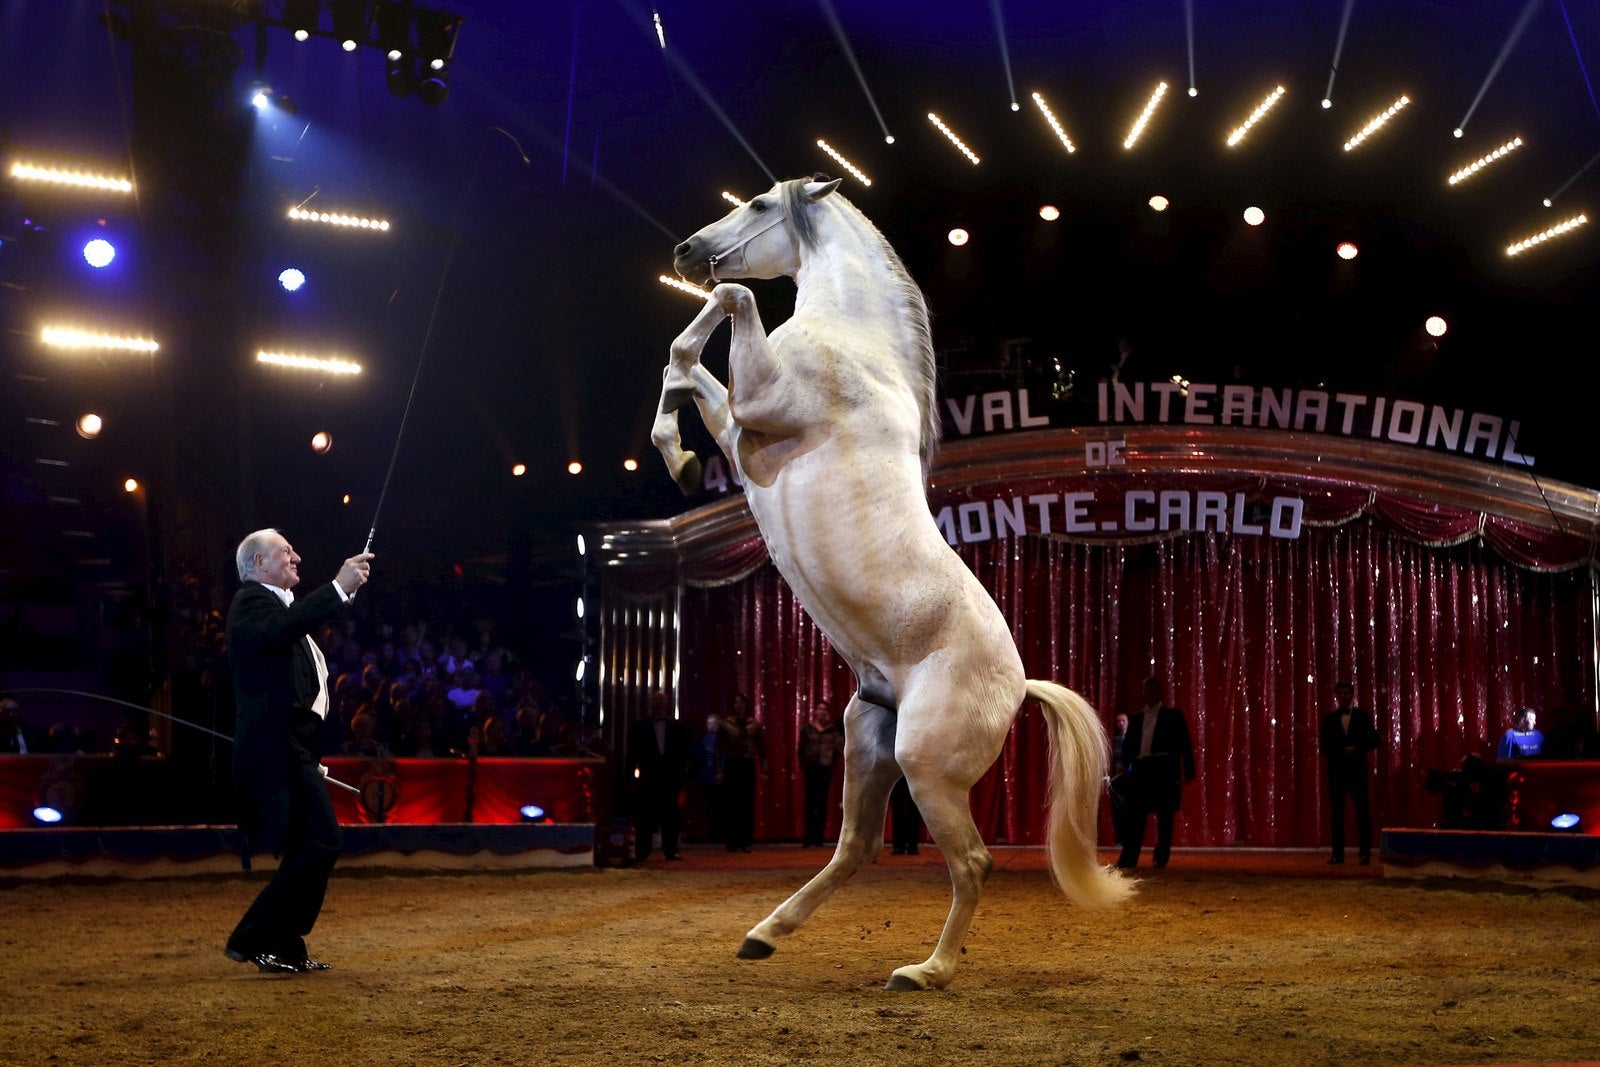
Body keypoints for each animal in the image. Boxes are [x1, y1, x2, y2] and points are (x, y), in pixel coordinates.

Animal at [646, 177, 1126, 991]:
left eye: (759, 205)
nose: (686, 251)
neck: (855, 346)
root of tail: (1019, 686)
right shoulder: (742, 439)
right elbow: (686, 369)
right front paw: (677, 453)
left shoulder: (758, 408)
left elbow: (727, 303)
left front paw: (677, 446)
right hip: (866, 741)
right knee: (857, 846)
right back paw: (765, 934)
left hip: (925, 768)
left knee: (972, 862)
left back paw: (925, 972)